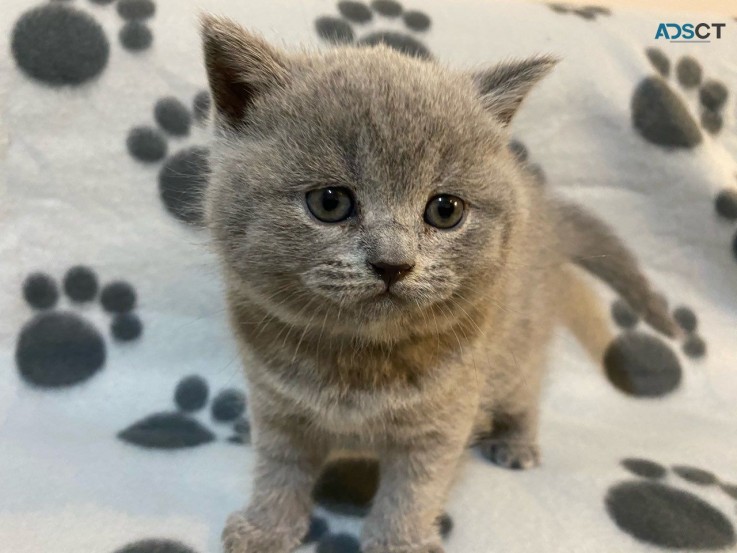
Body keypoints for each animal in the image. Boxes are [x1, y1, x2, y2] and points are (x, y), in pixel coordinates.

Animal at [198, 16, 676, 552]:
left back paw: (516, 443)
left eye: (445, 210)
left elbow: (414, 488)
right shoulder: (276, 406)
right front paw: (266, 527)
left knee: (526, 392)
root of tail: (546, 212)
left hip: (521, 344)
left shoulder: (443, 416)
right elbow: (279, 468)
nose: (392, 263)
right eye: (329, 202)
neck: (357, 363)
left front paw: (398, 541)